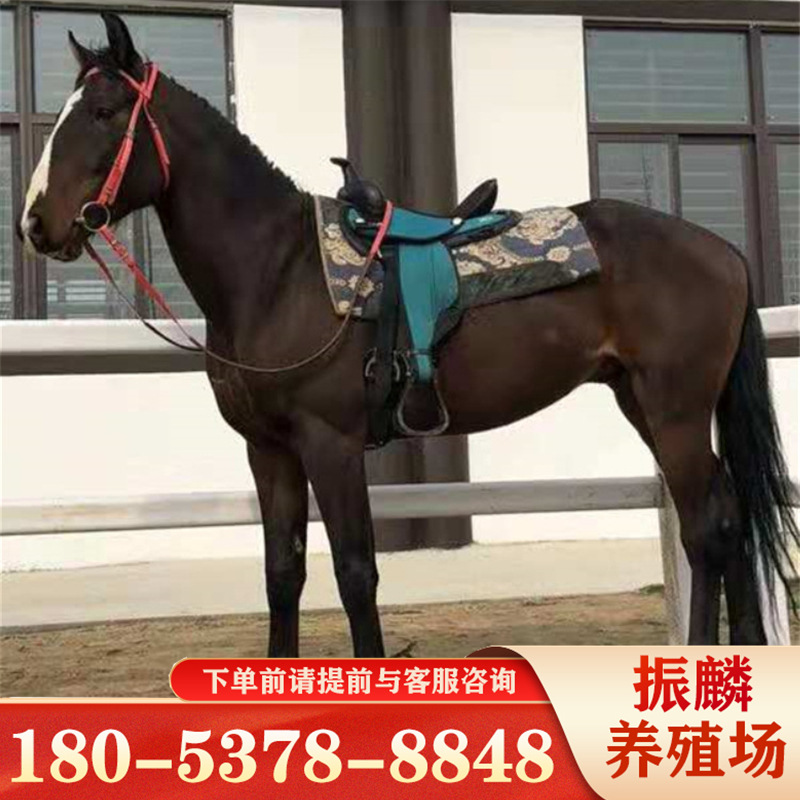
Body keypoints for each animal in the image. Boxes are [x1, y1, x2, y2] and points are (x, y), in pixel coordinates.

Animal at [18, 13, 798, 655]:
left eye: (104, 111)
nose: (35, 223)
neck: (277, 269)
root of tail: (722, 251)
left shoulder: (330, 445)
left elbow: (355, 572)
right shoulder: (268, 450)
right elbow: (282, 573)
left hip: (675, 413)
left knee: (706, 531)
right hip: (647, 404)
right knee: (729, 522)